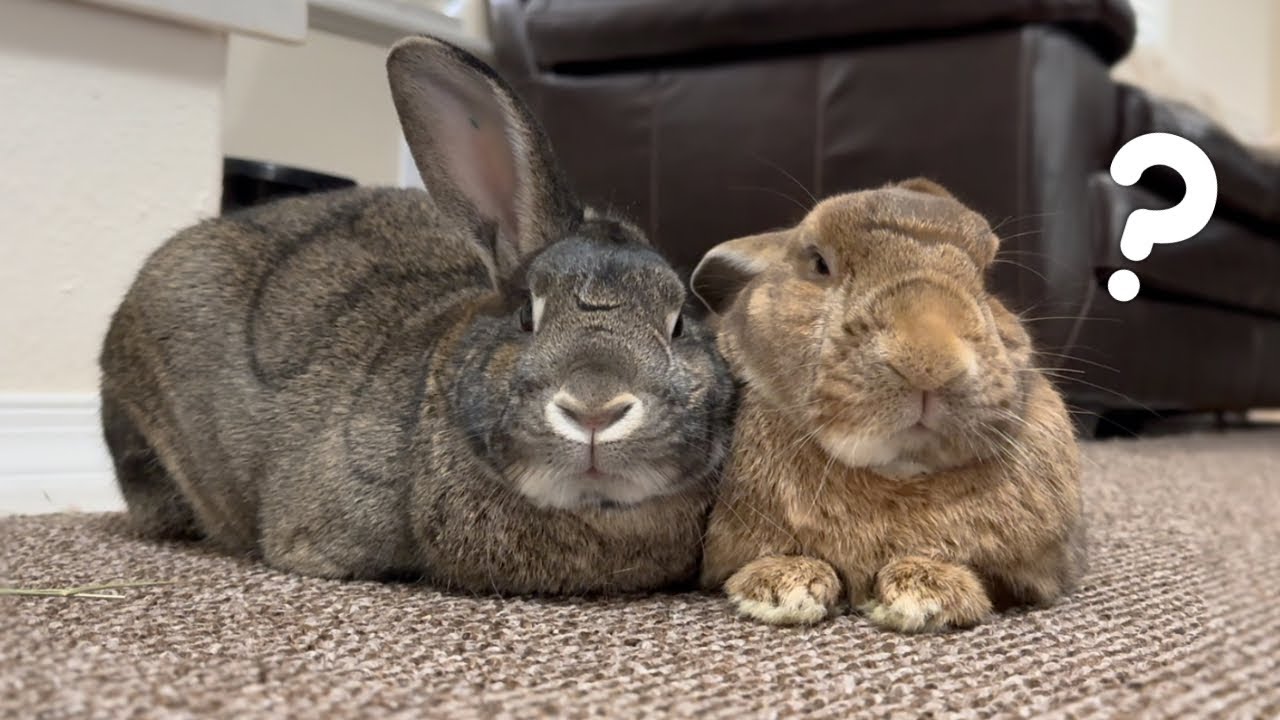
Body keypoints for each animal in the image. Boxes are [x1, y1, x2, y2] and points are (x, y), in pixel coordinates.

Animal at [690, 179, 1084, 631]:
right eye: (819, 264)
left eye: (986, 278)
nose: (930, 363)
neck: (899, 473)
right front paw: (783, 587)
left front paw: (927, 595)